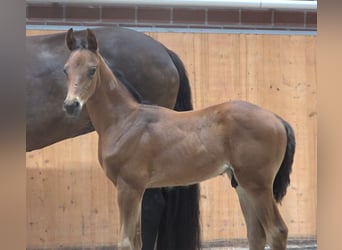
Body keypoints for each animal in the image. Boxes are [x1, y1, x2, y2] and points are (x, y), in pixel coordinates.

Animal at [63, 28, 296, 249]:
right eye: (66, 70)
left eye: (92, 70)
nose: (71, 105)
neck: (124, 120)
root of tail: (277, 119)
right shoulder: (138, 189)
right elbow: (137, 241)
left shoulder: (128, 186)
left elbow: (125, 242)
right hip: (241, 185)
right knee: (256, 235)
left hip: (258, 185)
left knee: (277, 232)